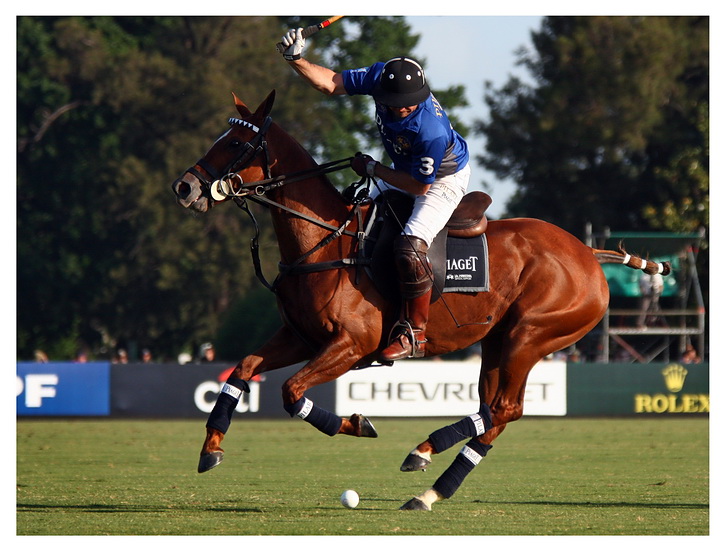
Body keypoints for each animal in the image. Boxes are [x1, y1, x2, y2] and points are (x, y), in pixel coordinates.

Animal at [171, 90, 670, 510]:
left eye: (237, 143)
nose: (185, 188)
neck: (327, 242)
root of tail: (587, 253)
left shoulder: (351, 345)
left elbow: (292, 392)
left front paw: (357, 423)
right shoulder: (302, 337)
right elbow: (243, 369)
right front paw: (211, 449)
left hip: (532, 334)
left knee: (505, 408)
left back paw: (425, 463)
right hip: (498, 340)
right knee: (495, 411)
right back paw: (428, 478)